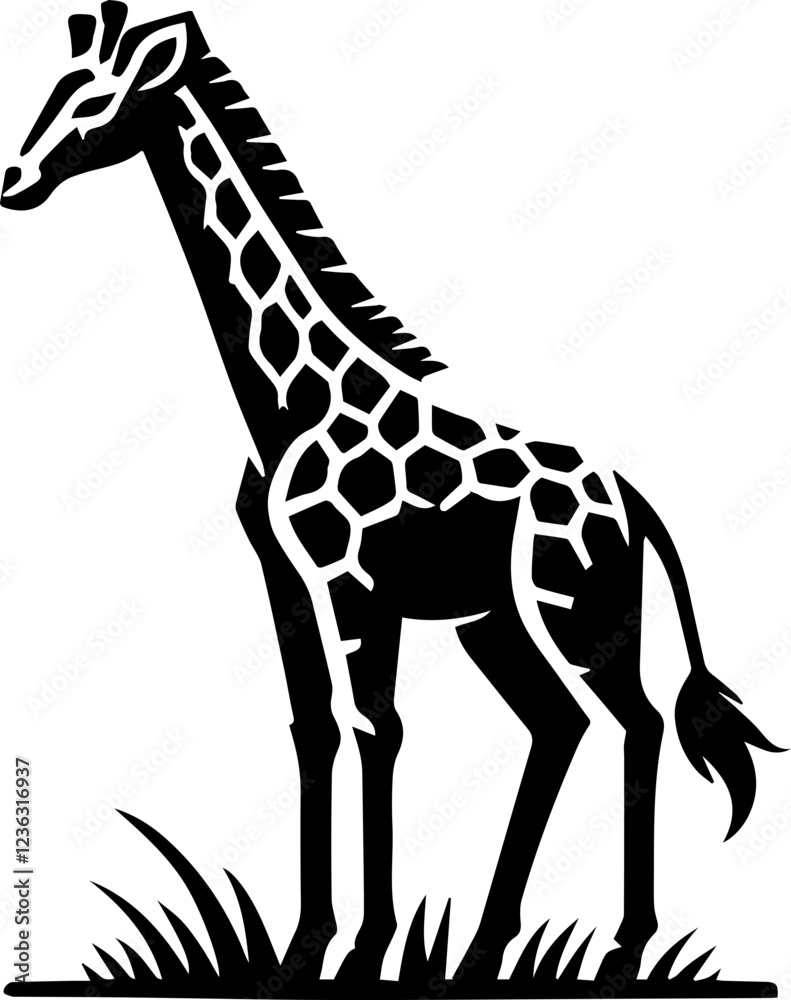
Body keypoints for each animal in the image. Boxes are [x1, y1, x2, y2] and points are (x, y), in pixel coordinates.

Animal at [1, 3, 782, 985]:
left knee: (634, 722)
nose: (14, 180)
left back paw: (621, 947)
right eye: (53, 87)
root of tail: (632, 502)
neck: (286, 402)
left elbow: (378, 728)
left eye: (93, 99)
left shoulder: (354, 584)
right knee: (563, 723)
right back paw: (490, 945)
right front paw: (302, 952)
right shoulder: (288, 580)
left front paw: (367, 945)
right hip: (499, 623)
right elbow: (314, 730)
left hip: (576, 608)